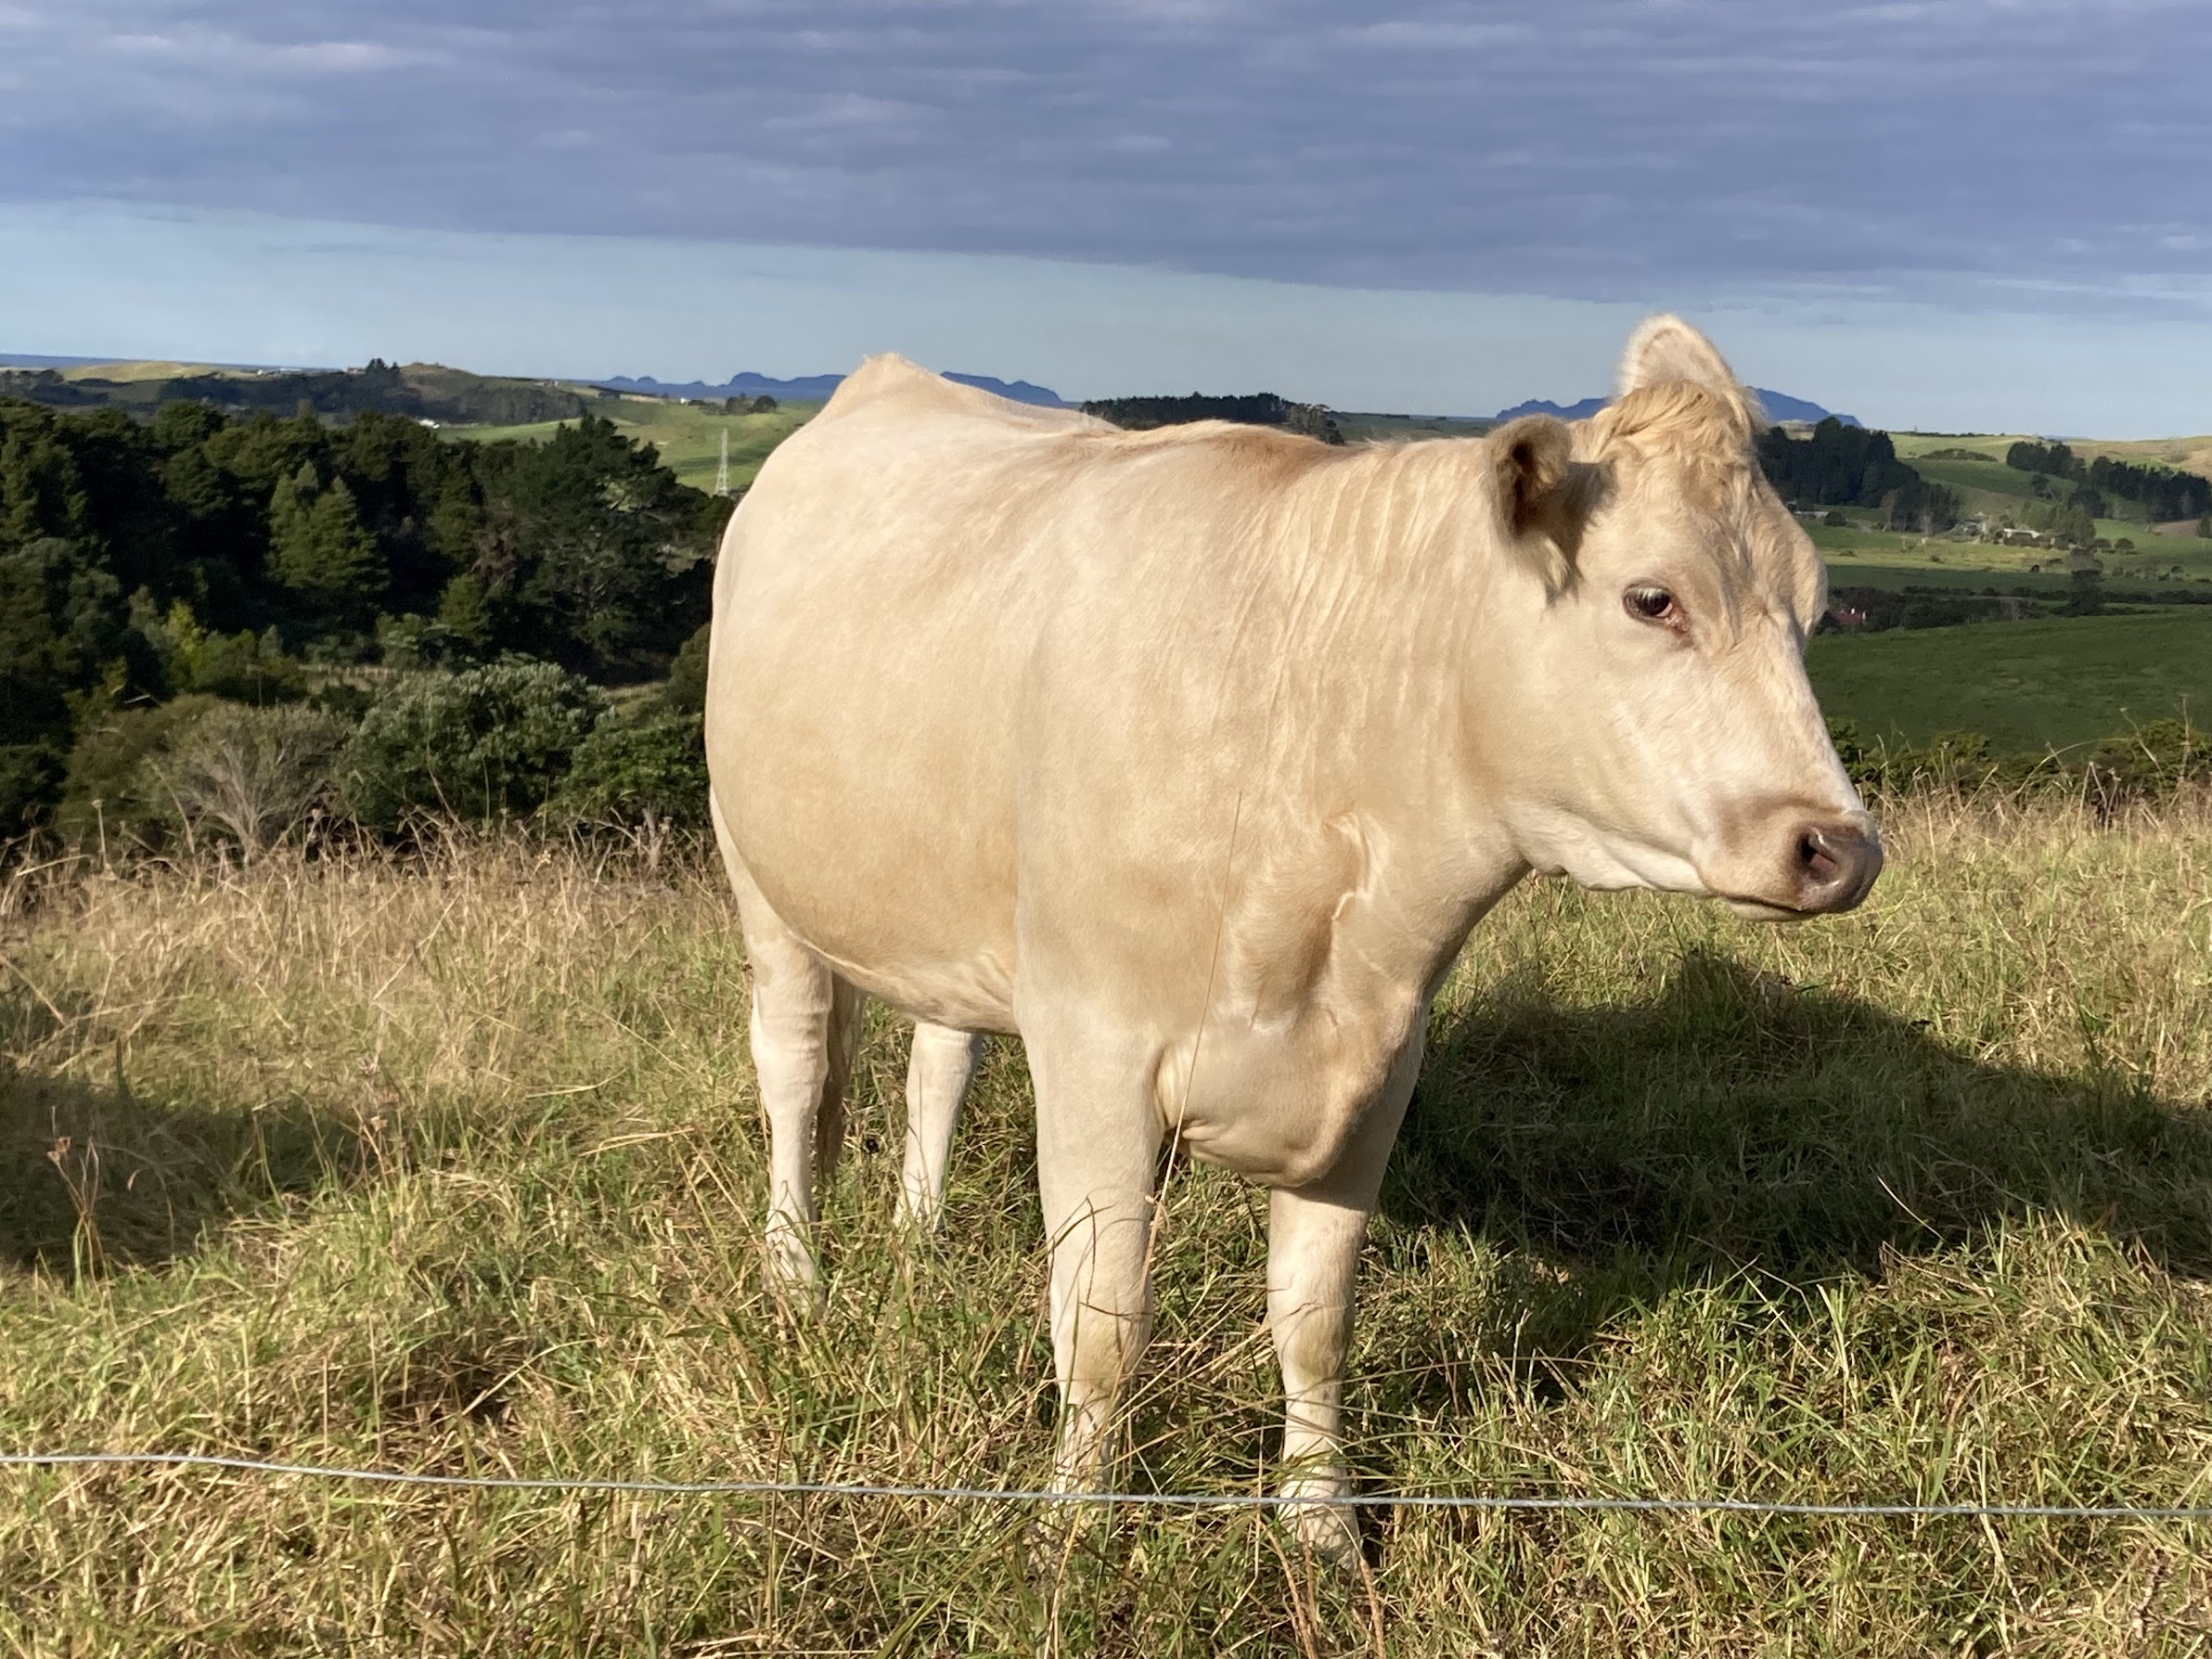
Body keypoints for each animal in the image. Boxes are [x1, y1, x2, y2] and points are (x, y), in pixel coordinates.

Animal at [703, 316, 1880, 1554]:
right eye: (1650, 599)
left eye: (1810, 613)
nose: (1837, 849)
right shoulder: (1093, 1050)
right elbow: (1102, 1323)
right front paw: (1073, 1528)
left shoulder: (1376, 1064)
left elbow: (1314, 1314)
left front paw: (1320, 1520)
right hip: (757, 873)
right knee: (795, 1073)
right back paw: (795, 1277)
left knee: (940, 1056)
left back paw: (919, 1239)